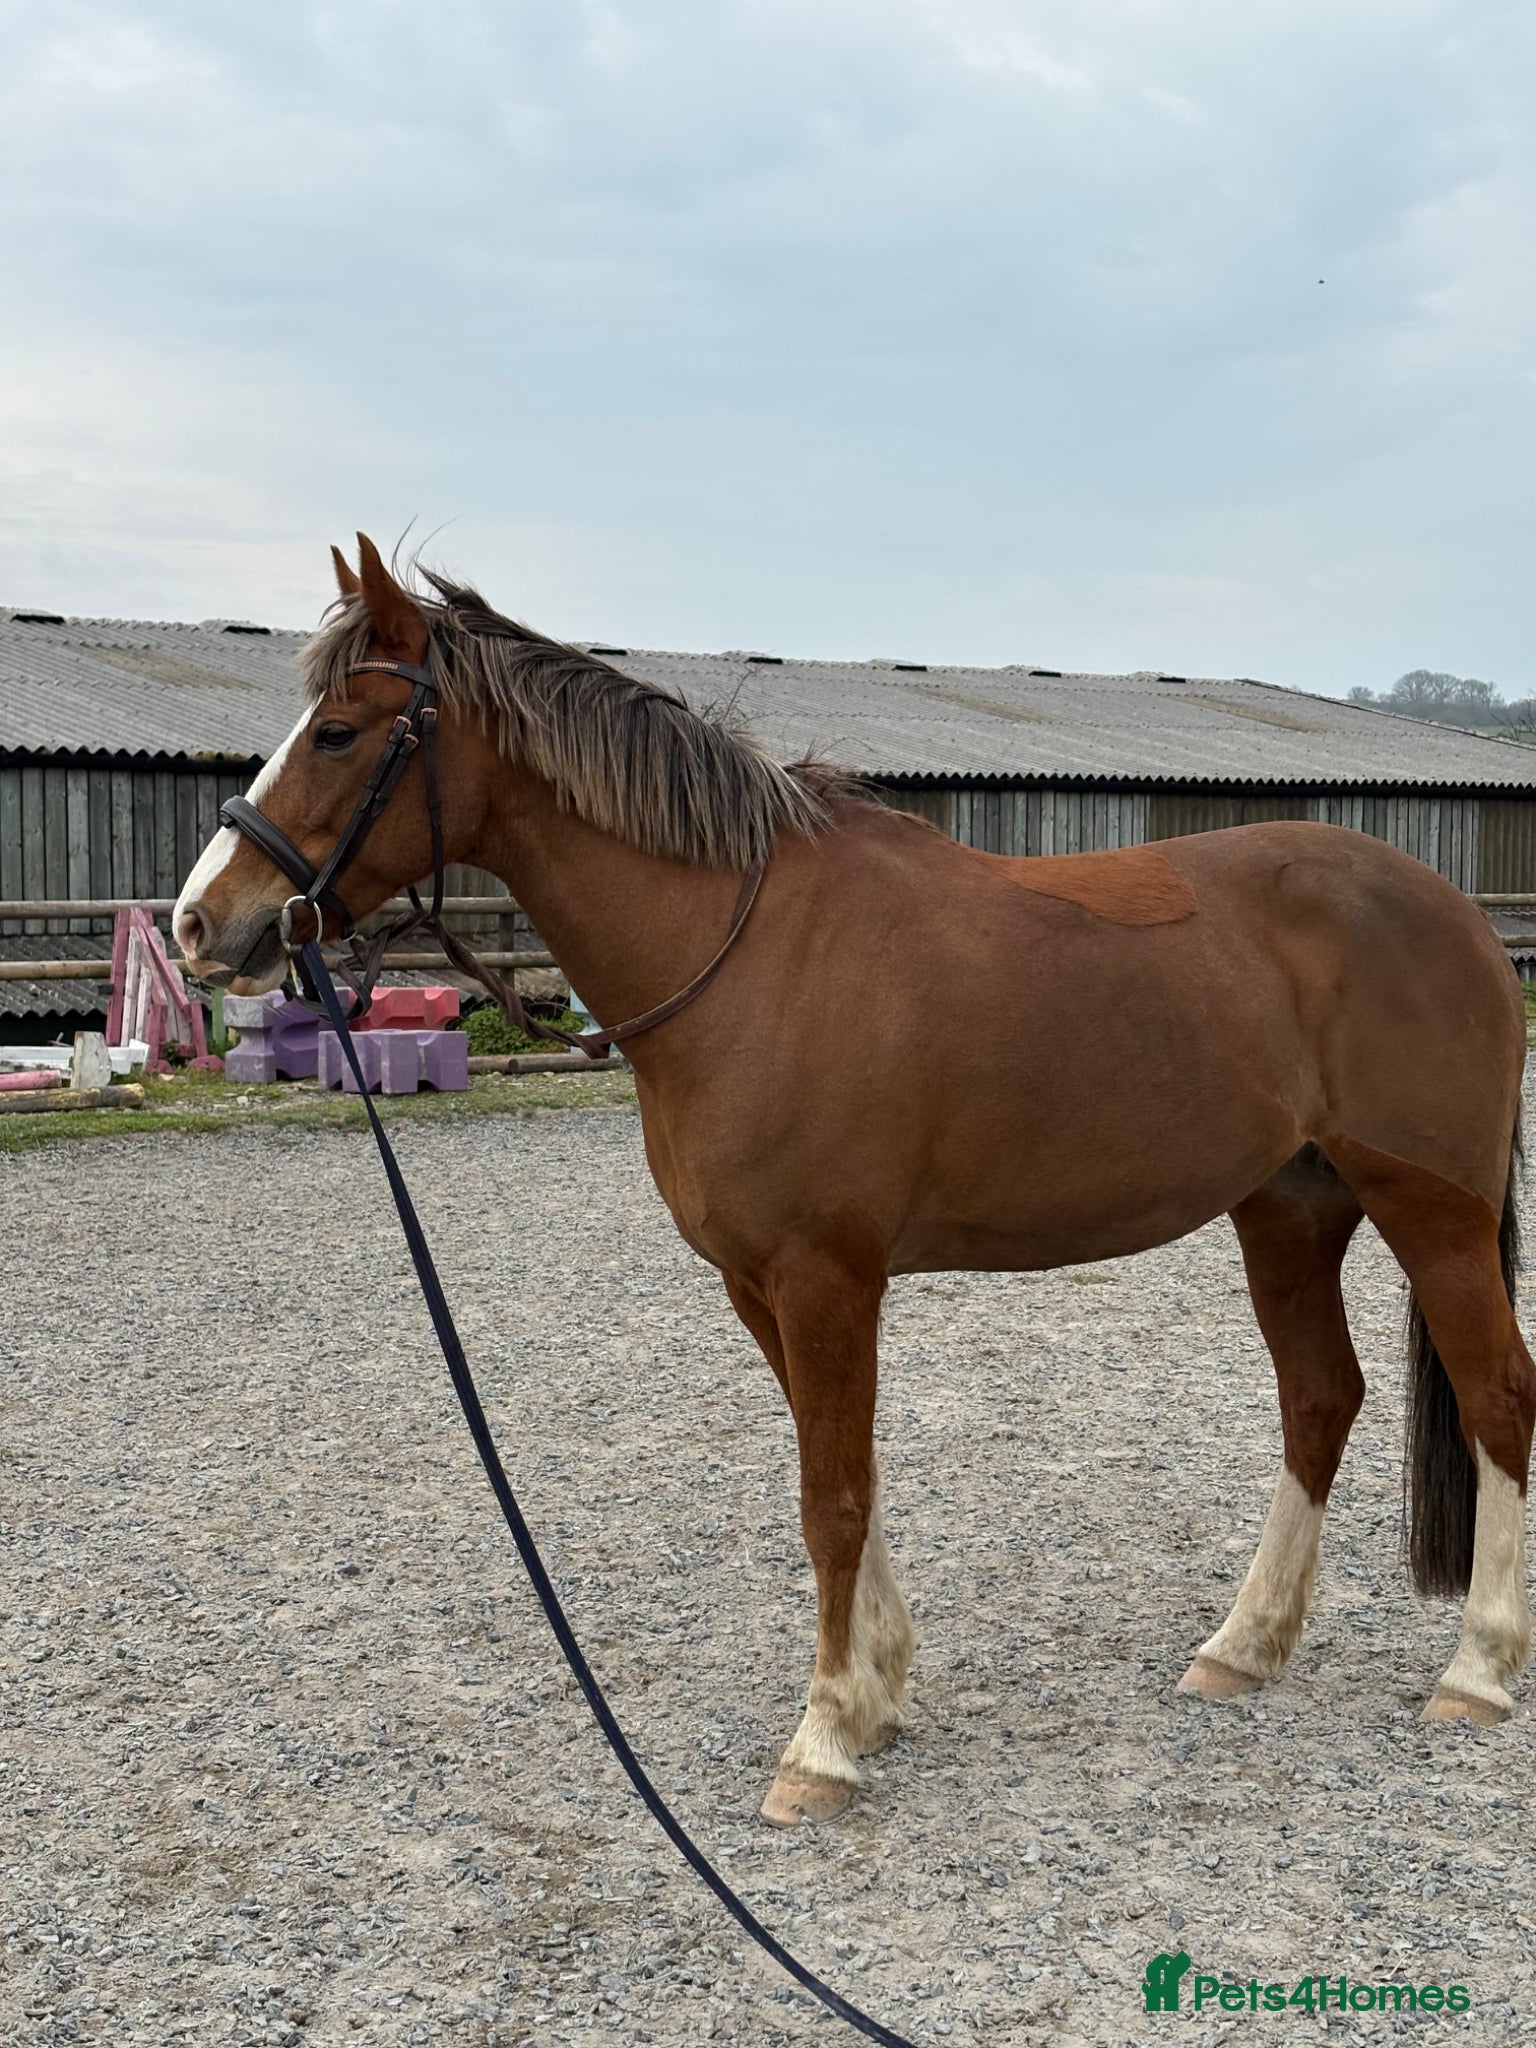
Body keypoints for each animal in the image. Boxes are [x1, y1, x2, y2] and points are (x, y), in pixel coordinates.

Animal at [173, 534, 1535, 1827]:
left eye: (339, 730)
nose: (201, 923)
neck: (746, 951)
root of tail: (1460, 914)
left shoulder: (827, 1276)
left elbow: (830, 1493)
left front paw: (822, 1739)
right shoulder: (760, 1283)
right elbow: (848, 1481)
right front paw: (877, 1691)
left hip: (1434, 1213)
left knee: (1497, 1397)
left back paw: (1475, 1669)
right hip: (1290, 1208)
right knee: (1321, 1399)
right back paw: (1244, 1646)